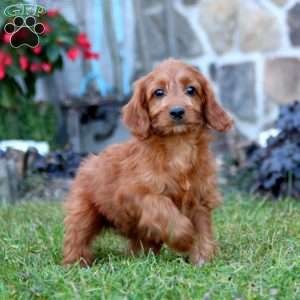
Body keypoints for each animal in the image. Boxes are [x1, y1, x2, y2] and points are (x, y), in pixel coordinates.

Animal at [62, 58, 232, 268]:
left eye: (191, 90)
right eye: (158, 92)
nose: (177, 111)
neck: (178, 145)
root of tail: (88, 160)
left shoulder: (199, 198)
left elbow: (203, 228)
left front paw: (203, 257)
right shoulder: (134, 194)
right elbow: (163, 206)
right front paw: (185, 238)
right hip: (83, 211)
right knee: (77, 235)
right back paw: (76, 262)